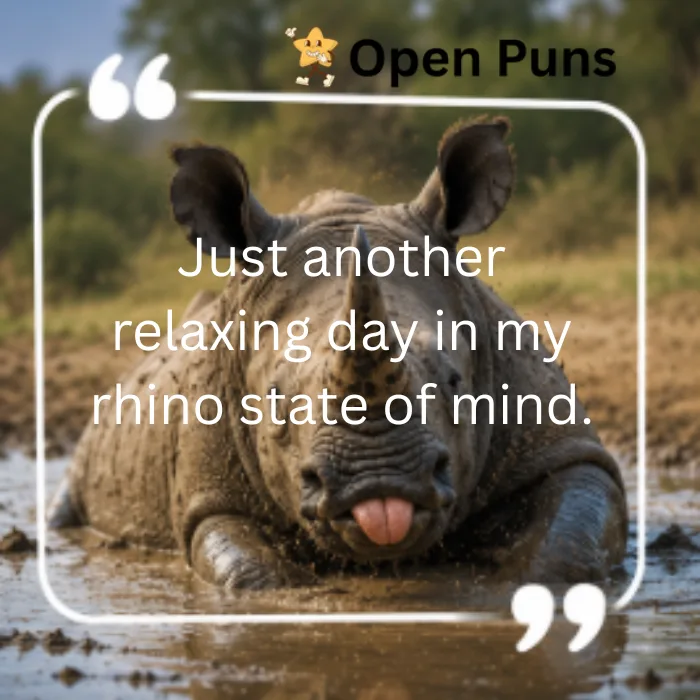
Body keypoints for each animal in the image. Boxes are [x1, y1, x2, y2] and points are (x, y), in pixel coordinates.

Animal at [49, 117, 628, 590]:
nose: (379, 483)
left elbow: (566, 546)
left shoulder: (561, 441)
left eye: (455, 382)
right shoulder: (208, 493)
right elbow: (249, 575)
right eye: (273, 399)